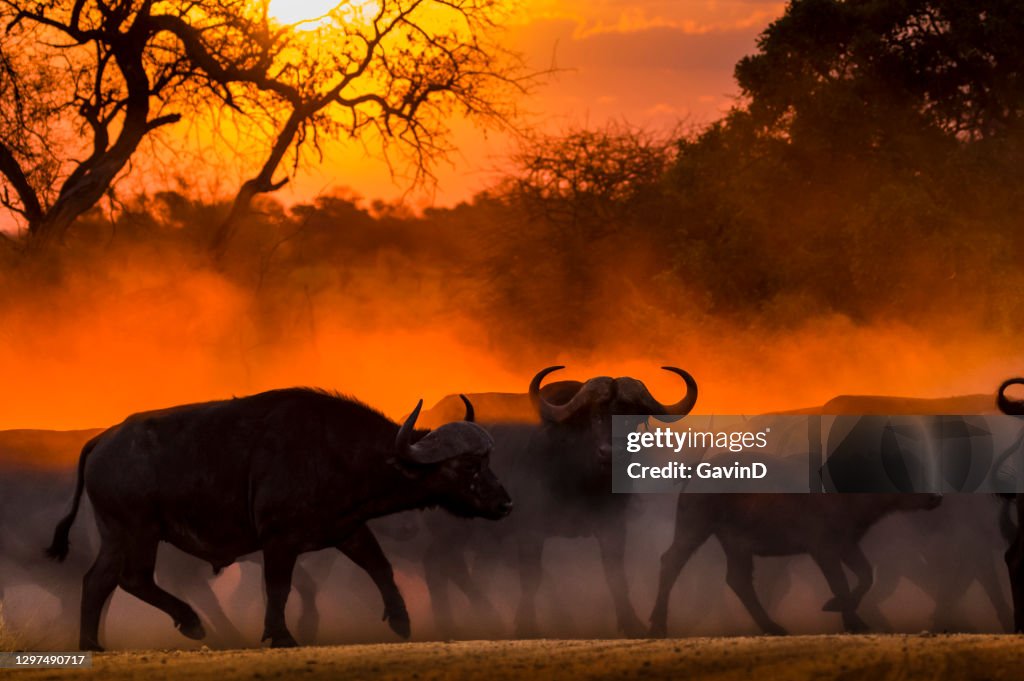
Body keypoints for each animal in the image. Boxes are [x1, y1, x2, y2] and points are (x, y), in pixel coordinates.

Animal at [45, 388, 512, 650]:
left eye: (488, 461)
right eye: (467, 466)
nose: (505, 504)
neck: (337, 451)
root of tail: (103, 440)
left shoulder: (348, 529)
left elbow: (381, 567)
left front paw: (401, 620)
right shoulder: (278, 540)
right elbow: (278, 587)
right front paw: (280, 635)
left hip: (118, 534)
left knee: (100, 581)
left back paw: (93, 643)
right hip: (137, 531)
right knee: (130, 579)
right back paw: (189, 623)